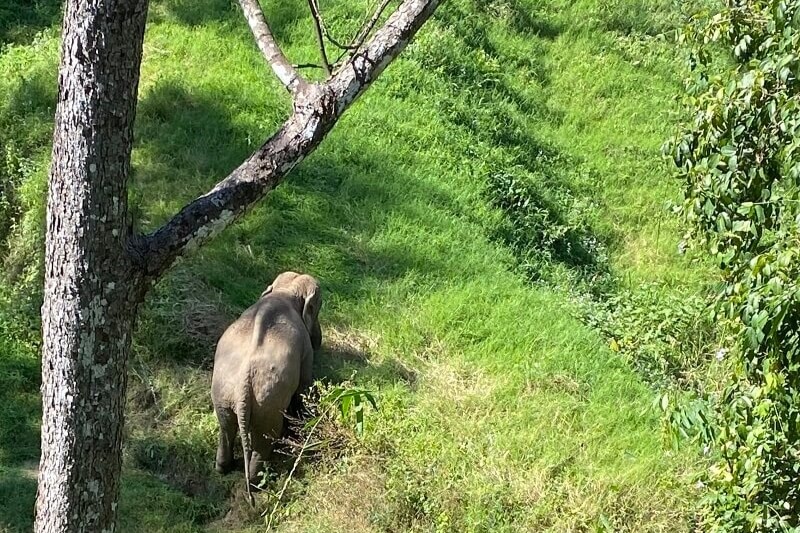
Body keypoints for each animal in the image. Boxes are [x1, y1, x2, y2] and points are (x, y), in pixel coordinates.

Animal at [212, 272, 324, 500]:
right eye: (318, 307)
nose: (320, 341)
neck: (285, 292)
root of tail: (242, 389)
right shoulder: (305, 349)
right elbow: (304, 385)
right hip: (268, 404)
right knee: (264, 437)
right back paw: (256, 482)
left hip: (222, 393)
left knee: (226, 426)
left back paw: (223, 469)